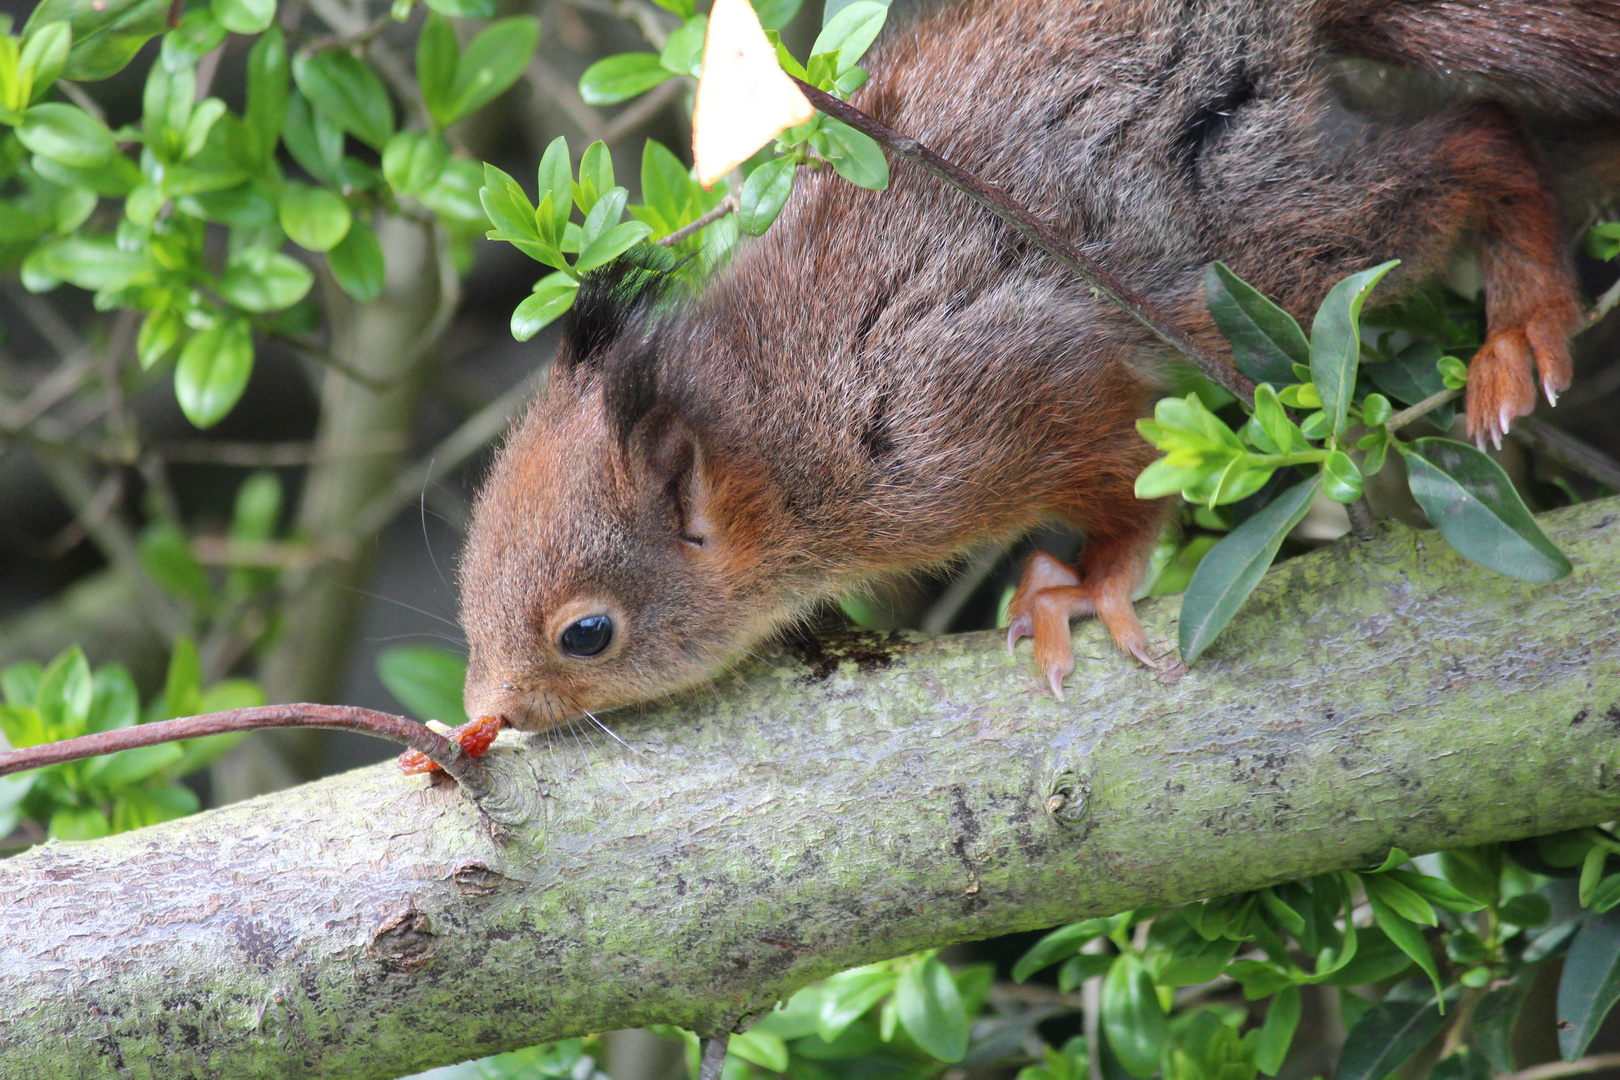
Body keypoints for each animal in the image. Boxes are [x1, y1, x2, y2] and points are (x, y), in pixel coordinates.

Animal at [456, 0, 1620, 731]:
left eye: (588, 635)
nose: (484, 715)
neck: (780, 434)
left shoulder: (993, 401)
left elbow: (1123, 480)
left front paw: (1089, 586)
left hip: (1246, 238)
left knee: (1481, 137)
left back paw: (1520, 326)